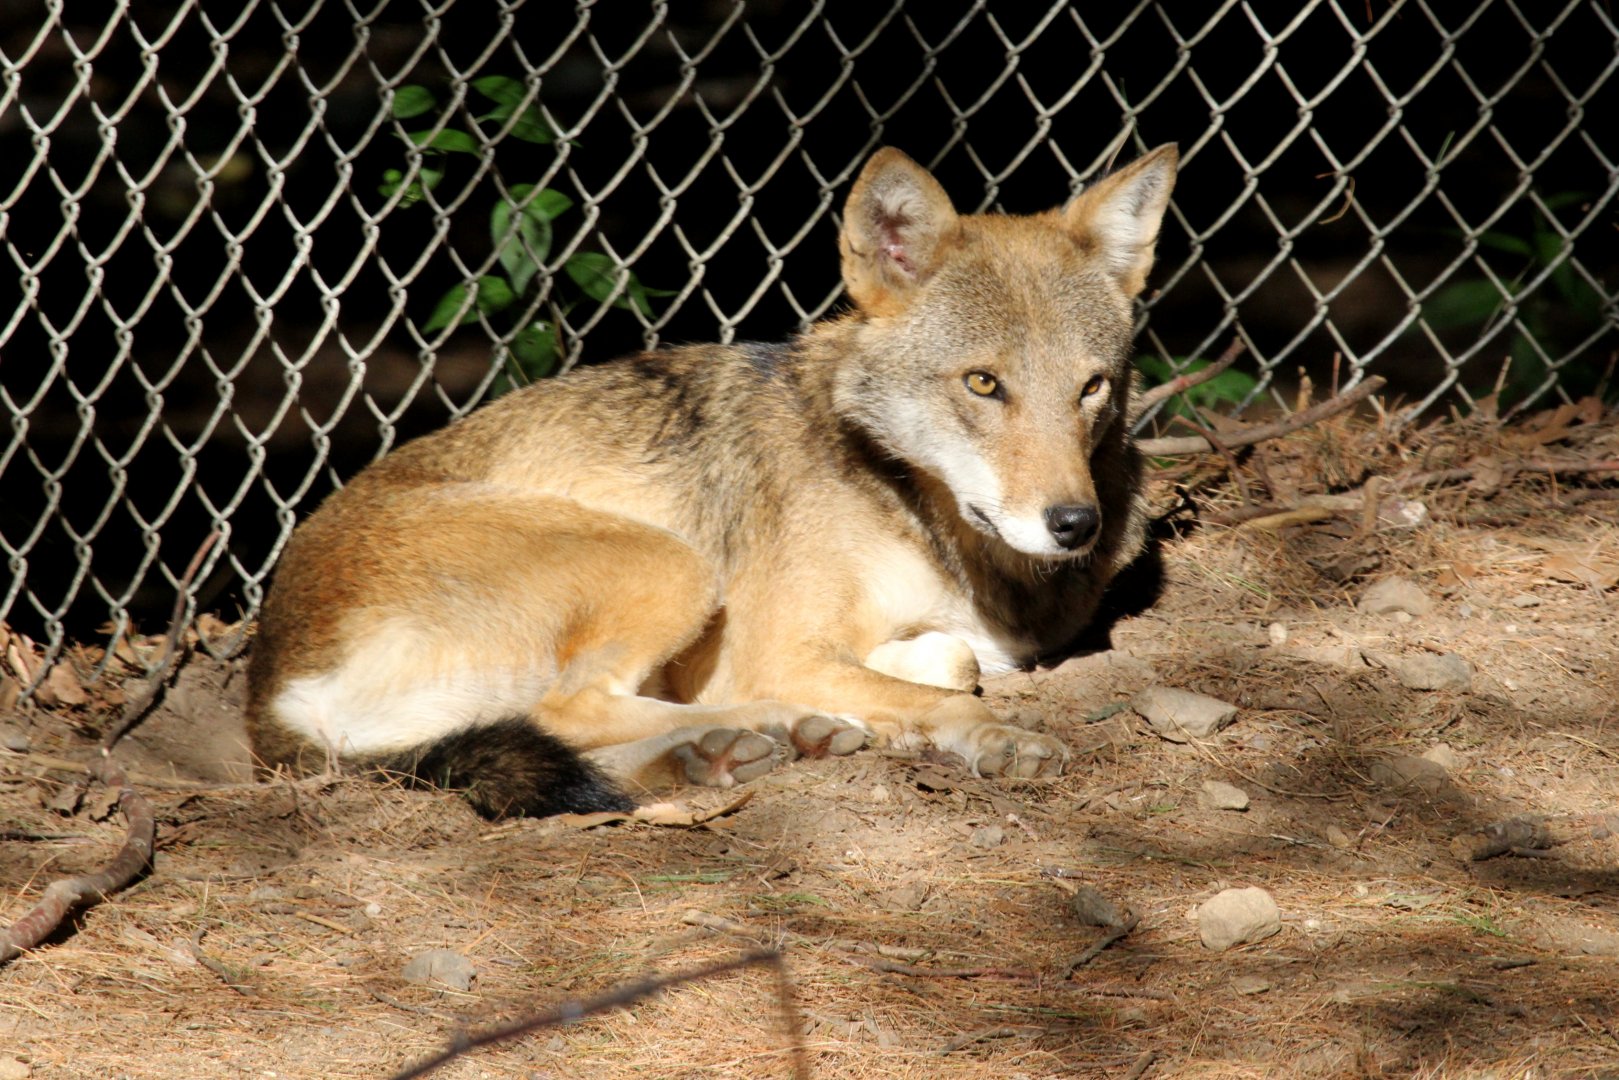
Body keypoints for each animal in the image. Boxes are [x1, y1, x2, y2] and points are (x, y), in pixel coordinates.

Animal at [245, 143, 1178, 817]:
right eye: (983, 384)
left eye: (1090, 387)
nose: (1074, 523)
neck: (915, 510)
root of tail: (267, 685)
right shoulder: (773, 646)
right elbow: (943, 692)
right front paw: (996, 736)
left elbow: (949, 658)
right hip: (673, 563)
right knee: (569, 711)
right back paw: (776, 727)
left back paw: (724, 755)